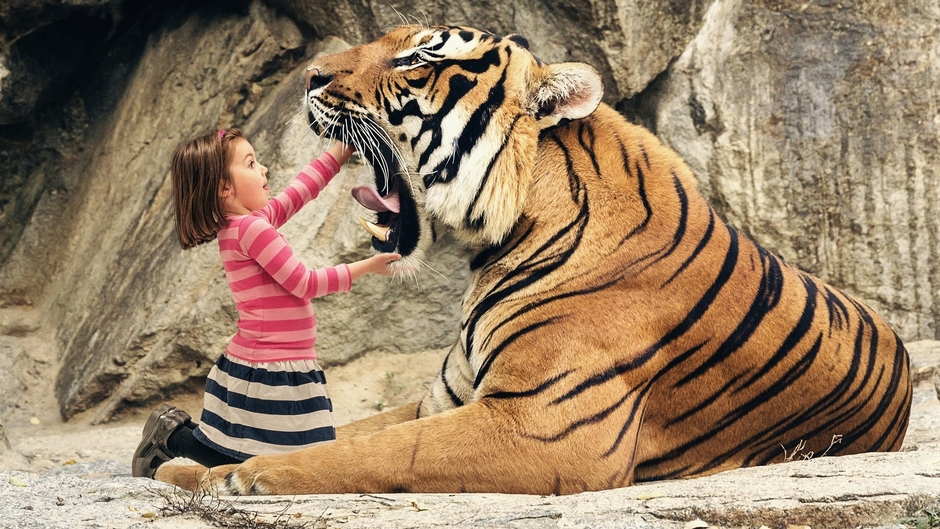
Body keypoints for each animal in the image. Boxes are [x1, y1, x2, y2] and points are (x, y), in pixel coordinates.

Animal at [156, 24, 913, 495]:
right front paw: (183, 465)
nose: (311, 76)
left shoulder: (542, 426)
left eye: (416, 60)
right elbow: (342, 431)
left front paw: (227, 475)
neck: (498, 241)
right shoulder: (445, 397)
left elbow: (362, 450)